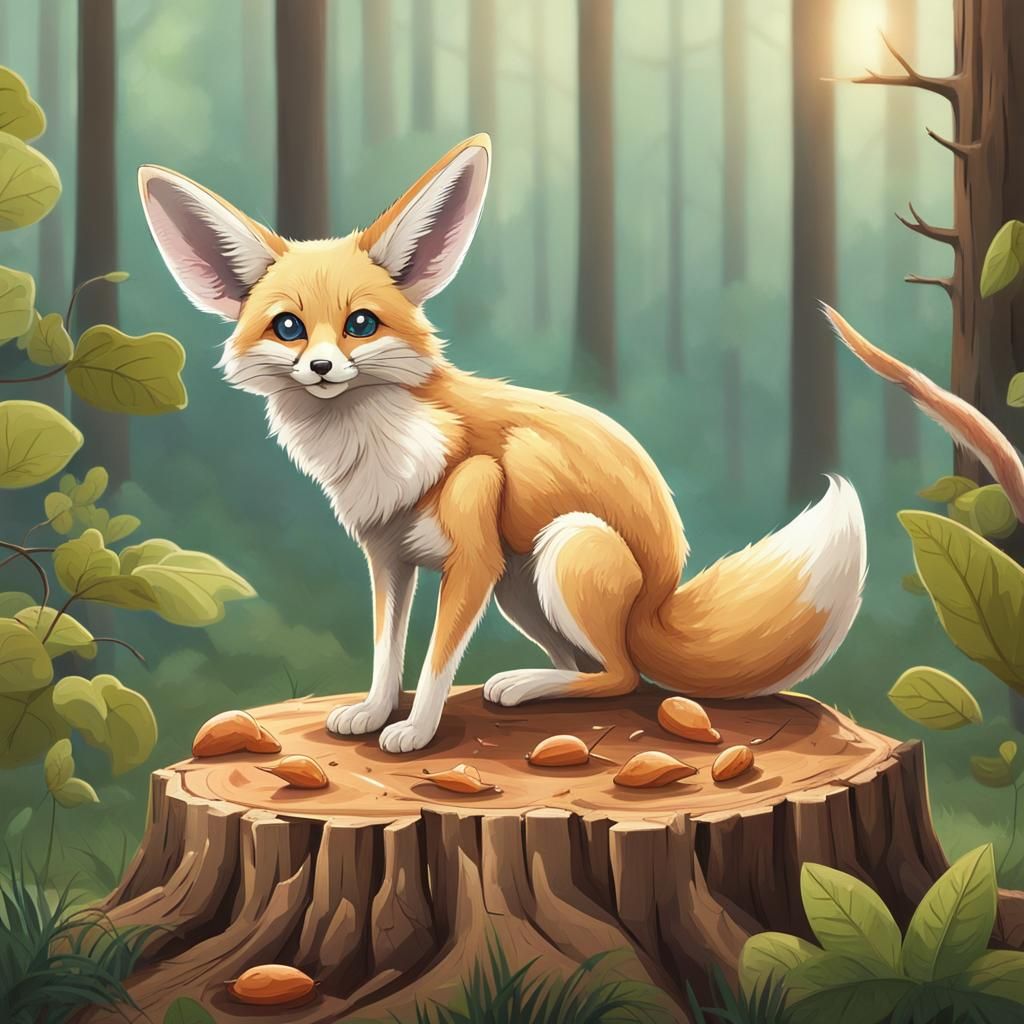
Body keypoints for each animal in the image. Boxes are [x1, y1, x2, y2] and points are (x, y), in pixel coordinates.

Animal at [138, 134, 870, 754]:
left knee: (623, 676)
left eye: (361, 324)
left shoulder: (471, 560)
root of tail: (662, 600)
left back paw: (523, 686)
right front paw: (374, 712)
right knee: (596, 666)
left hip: (565, 548)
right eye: (288, 327)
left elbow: (436, 662)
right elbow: (385, 652)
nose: (320, 368)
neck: (384, 446)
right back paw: (526, 683)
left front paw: (415, 732)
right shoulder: (388, 559)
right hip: (522, 587)